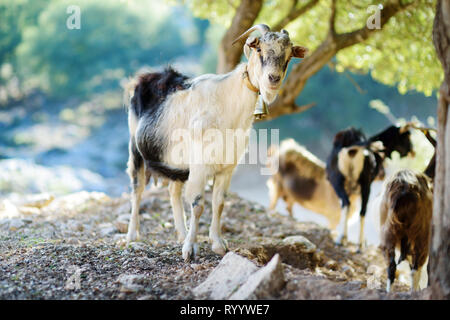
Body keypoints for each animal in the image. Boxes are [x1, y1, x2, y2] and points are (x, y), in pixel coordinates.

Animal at [123, 24, 308, 260]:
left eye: (289, 54)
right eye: (259, 49)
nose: (273, 79)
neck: (228, 105)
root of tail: (144, 78)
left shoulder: (227, 167)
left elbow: (219, 203)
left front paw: (217, 244)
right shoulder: (200, 165)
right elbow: (198, 204)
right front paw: (190, 249)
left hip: (176, 163)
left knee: (173, 192)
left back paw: (180, 233)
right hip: (135, 149)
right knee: (137, 189)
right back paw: (133, 235)